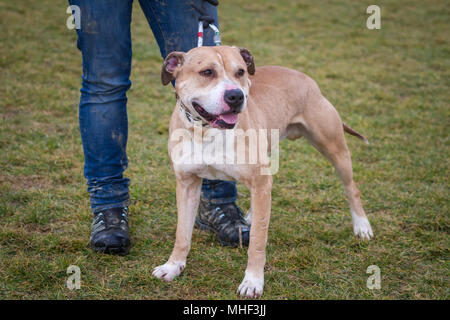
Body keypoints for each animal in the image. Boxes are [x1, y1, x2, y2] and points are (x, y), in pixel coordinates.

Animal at [152, 45, 372, 298]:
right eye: (207, 72)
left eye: (240, 72)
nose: (236, 96)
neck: (207, 132)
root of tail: (306, 78)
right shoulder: (187, 183)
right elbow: (182, 233)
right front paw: (172, 266)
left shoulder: (259, 181)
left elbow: (257, 241)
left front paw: (253, 281)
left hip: (334, 148)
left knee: (351, 188)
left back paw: (362, 226)